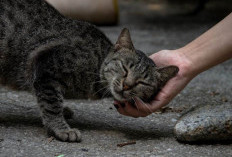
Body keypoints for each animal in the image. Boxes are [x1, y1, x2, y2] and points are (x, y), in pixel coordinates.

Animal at [0, 0, 179, 142]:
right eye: (124, 68)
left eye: (142, 82)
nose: (127, 85)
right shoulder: (45, 67)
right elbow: (52, 104)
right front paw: (61, 129)